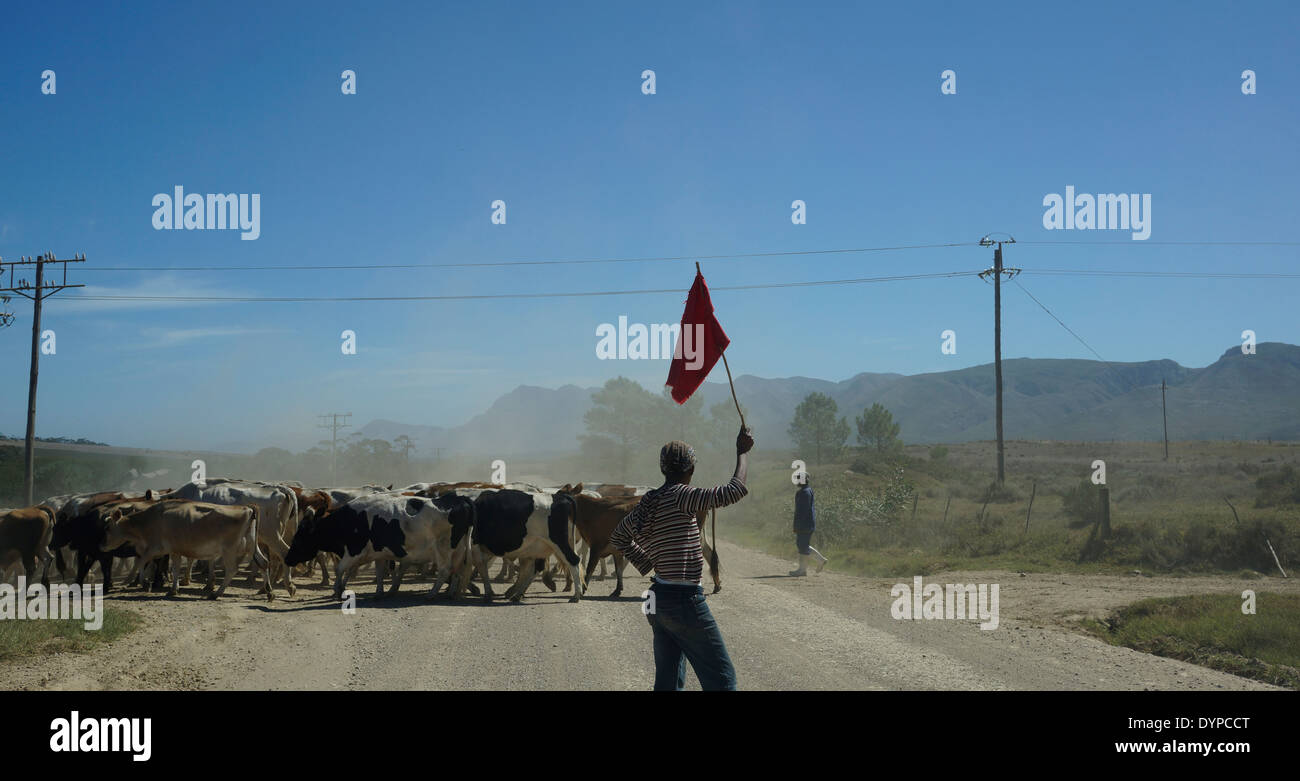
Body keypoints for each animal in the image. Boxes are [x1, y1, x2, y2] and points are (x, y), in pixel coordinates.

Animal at [282, 493, 475, 597]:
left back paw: (432, 593)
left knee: (445, 570)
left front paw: (337, 590)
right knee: (457, 570)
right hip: (458, 550)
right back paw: (449, 593)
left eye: (298, 538)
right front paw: (379, 592)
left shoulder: (354, 551)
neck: (349, 520)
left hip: (443, 549)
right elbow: (379, 572)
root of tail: (459, 499)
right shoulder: (377, 553)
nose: (287, 559)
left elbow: (341, 569)